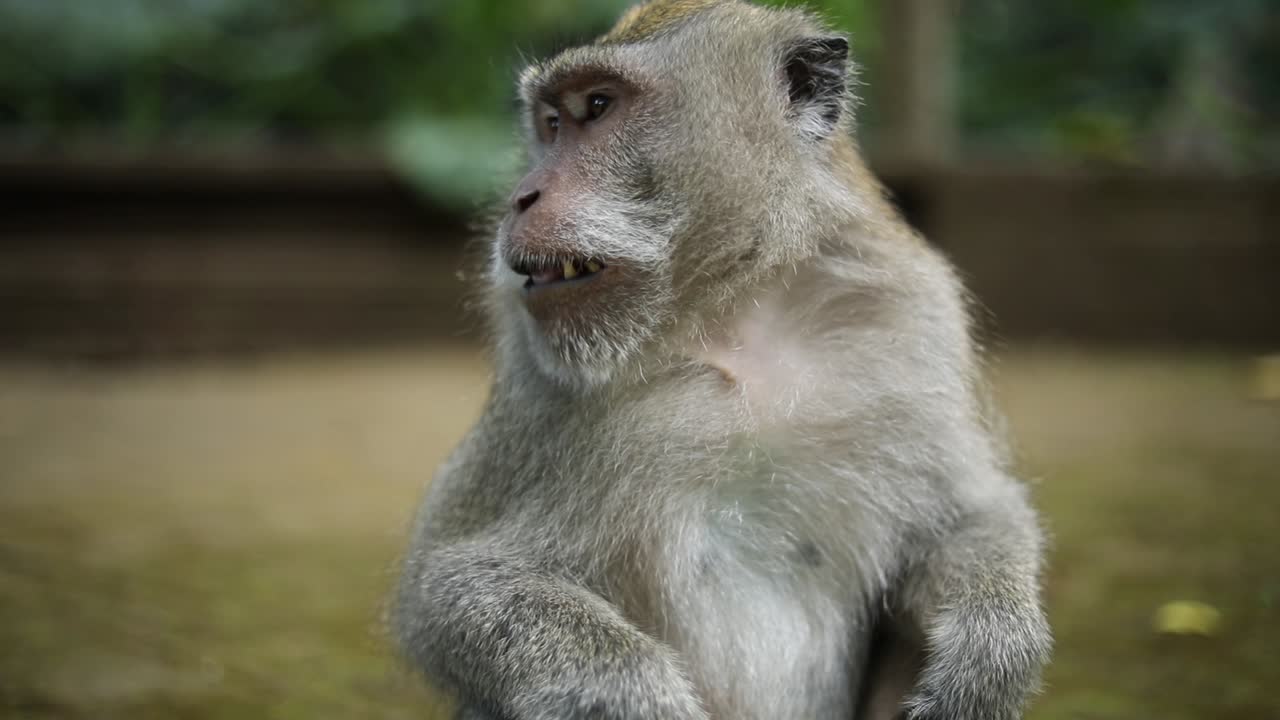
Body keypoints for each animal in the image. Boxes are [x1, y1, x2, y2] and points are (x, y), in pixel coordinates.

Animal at [393, 1, 1051, 719]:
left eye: (596, 106)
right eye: (551, 123)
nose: (522, 196)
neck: (734, 316)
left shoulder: (914, 324)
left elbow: (968, 516)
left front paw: (991, 649)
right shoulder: (534, 388)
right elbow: (451, 583)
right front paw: (633, 694)